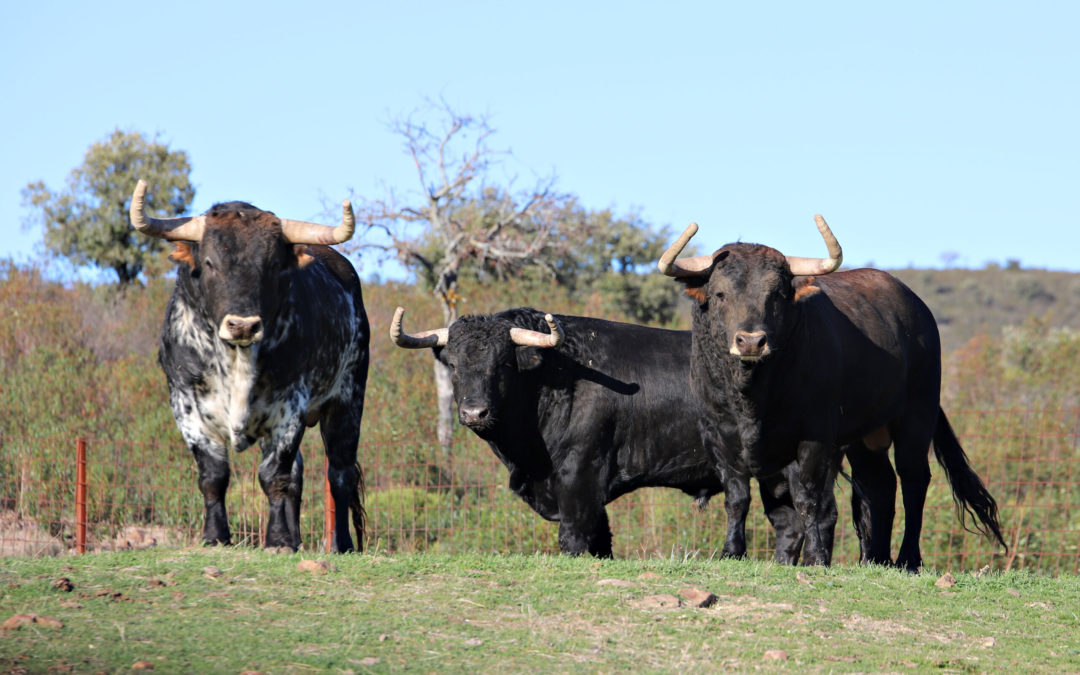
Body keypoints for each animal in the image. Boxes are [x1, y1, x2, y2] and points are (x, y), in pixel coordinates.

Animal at [127, 180, 367, 552]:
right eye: (209, 262)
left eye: (272, 266)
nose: (242, 325)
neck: (236, 361)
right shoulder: (185, 405)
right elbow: (214, 475)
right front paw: (215, 536)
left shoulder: (290, 406)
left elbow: (274, 475)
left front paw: (278, 539)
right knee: (300, 475)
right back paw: (297, 539)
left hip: (347, 400)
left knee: (339, 474)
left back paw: (340, 544)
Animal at [390, 304, 812, 557]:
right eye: (454, 366)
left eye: (503, 365)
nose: (474, 412)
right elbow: (601, 540)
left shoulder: (579, 474)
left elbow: (574, 537)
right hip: (773, 476)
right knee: (788, 525)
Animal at [652, 218, 1006, 565]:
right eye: (720, 293)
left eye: (776, 294)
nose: (751, 341)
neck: (751, 396)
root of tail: (917, 309)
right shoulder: (717, 434)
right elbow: (737, 498)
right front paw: (732, 551)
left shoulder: (815, 437)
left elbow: (809, 500)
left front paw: (817, 557)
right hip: (865, 435)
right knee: (879, 484)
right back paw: (875, 560)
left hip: (916, 415)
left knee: (913, 480)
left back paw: (908, 558)